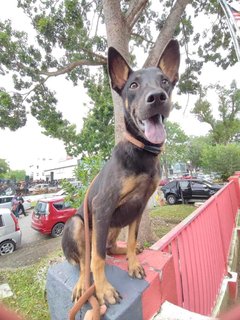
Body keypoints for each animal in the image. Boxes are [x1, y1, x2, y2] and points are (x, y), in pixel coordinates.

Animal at [62, 39, 180, 304]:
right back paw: (82, 285)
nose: (157, 97)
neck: (141, 151)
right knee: (85, 260)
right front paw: (103, 289)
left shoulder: (139, 205)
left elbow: (133, 238)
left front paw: (133, 264)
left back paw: (123, 250)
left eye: (164, 81)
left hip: (113, 225)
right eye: (134, 85)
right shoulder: (102, 206)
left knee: (109, 247)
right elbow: (96, 260)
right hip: (78, 224)